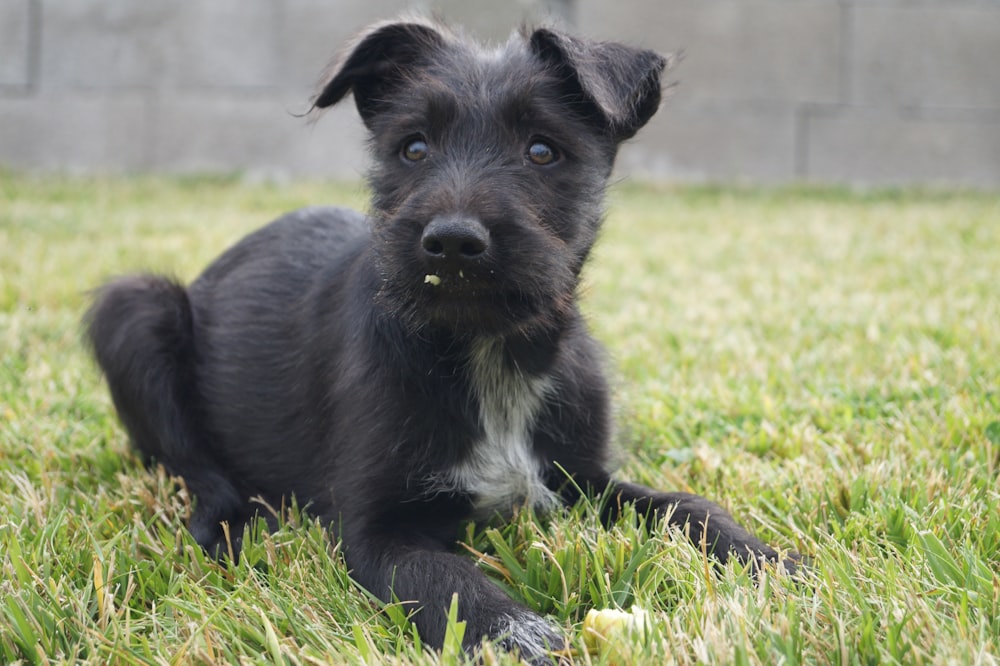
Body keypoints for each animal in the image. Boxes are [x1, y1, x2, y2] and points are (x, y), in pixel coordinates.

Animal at [84, 18, 796, 660]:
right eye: (414, 148)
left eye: (543, 150)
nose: (453, 241)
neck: (486, 350)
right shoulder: (374, 533)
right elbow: (446, 578)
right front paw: (513, 632)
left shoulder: (583, 482)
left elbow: (686, 505)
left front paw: (767, 561)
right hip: (136, 310)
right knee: (190, 463)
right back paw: (231, 524)